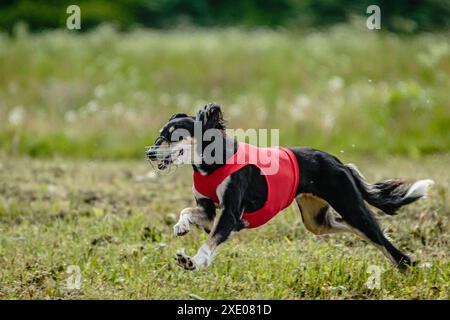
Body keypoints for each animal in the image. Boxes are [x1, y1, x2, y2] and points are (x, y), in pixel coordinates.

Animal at [146, 104, 434, 272]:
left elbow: (211, 240)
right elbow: (188, 211)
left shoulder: (231, 214)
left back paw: (409, 269)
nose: (150, 153)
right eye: (160, 134)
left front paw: (194, 261)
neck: (214, 163)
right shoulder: (208, 211)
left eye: (175, 135)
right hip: (315, 220)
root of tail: (337, 161)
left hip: (351, 206)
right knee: (345, 226)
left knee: (384, 242)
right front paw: (181, 226)